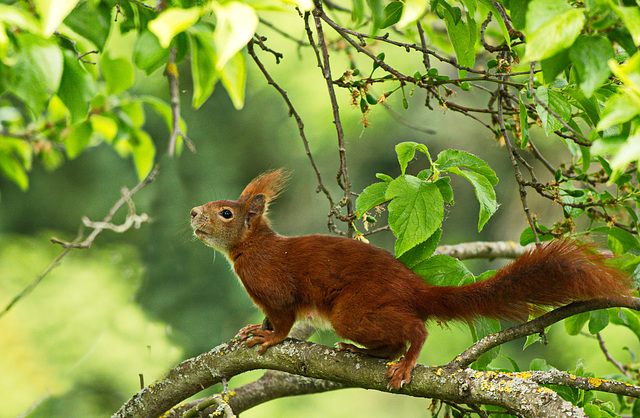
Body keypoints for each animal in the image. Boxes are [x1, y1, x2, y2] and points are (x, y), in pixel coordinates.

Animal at [188, 169, 632, 388]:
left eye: (226, 213)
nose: (193, 212)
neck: (248, 248)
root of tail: (415, 288)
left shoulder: (273, 284)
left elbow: (281, 319)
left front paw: (268, 338)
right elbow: (267, 317)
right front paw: (253, 329)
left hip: (356, 310)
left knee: (414, 330)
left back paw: (402, 363)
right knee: (393, 340)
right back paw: (363, 353)